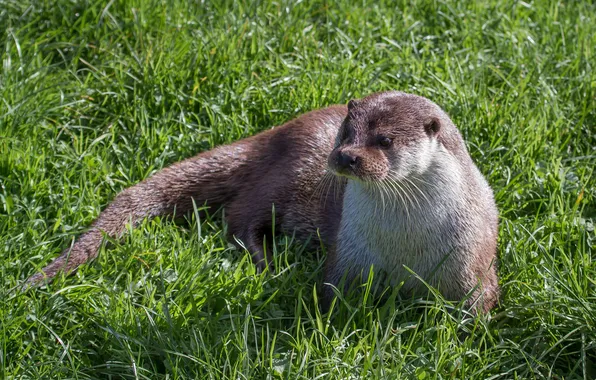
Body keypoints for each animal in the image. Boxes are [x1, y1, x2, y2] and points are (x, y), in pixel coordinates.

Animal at [23, 91, 498, 312]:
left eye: (384, 140)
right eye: (348, 132)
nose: (346, 155)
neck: (406, 249)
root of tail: (275, 134)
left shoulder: (473, 262)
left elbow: (480, 306)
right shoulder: (348, 257)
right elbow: (331, 295)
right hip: (285, 178)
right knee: (239, 218)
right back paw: (267, 262)